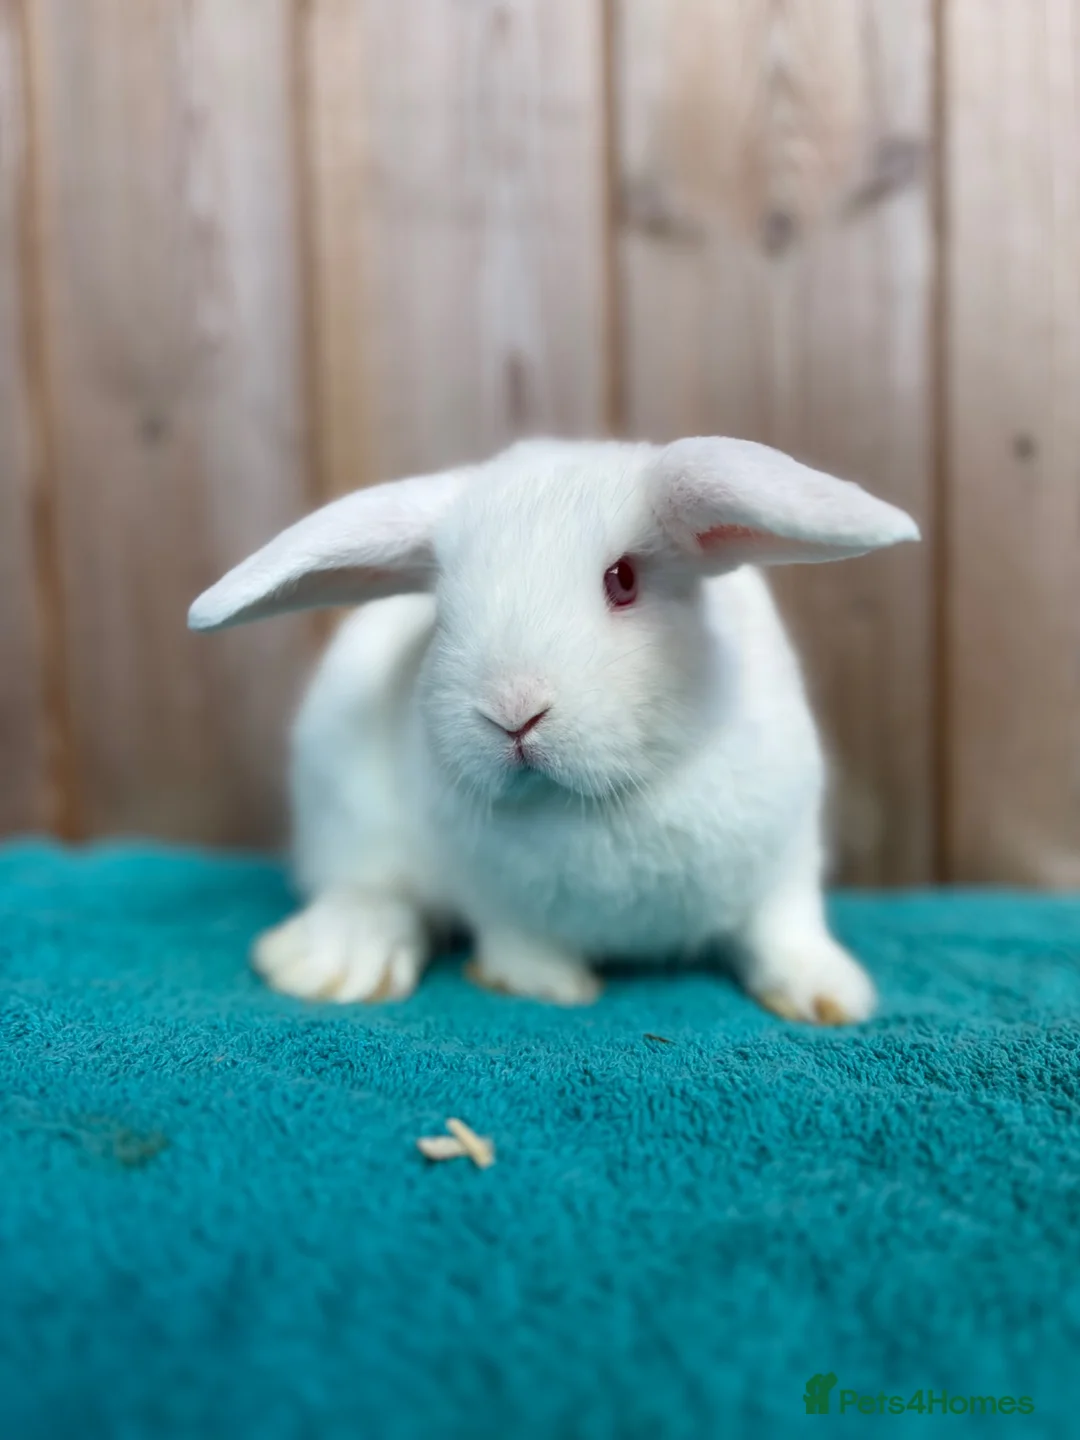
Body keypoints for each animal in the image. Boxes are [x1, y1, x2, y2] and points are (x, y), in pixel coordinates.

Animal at [189, 437, 919, 1022]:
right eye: (442, 609)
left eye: (623, 579)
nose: (513, 710)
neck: (601, 799)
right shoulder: (495, 898)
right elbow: (519, 944)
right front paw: (551, 987)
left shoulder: (785, 864)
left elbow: (784, 930)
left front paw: (831, 998)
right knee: (372, 891)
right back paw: (339, 964)